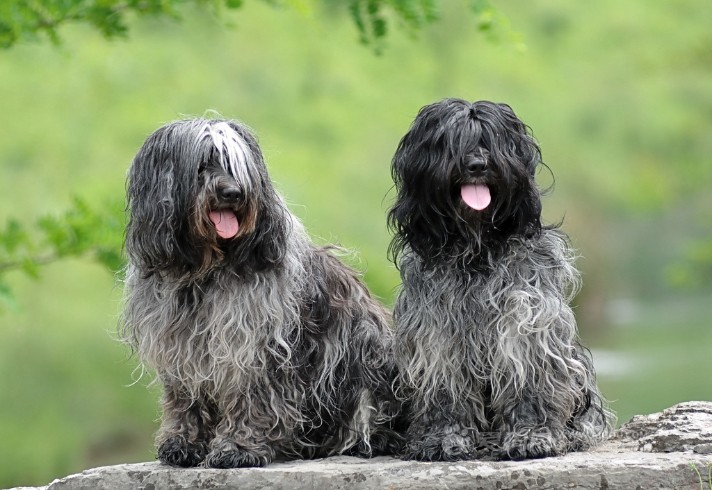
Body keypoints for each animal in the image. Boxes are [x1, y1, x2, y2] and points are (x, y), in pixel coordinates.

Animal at [122, 117, 400, 468]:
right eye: (202, 165)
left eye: (237, 165)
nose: (233, 192)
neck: (206, 269)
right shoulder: (181, 349)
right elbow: (186, 400)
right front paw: (184, 443)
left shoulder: (256, 348)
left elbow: (251, 399)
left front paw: (238, 448)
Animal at [386, 100, 616, 464]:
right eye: (454, 141)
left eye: (490, 140)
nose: (477, 165)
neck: (478, 250)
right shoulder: (437, 332)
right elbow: (445, 390)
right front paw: (443, 438)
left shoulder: (526, 320)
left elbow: (529, 383)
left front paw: (531, 437)